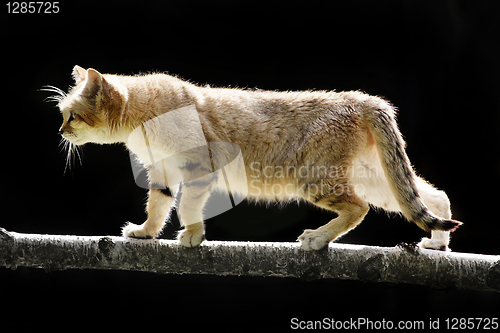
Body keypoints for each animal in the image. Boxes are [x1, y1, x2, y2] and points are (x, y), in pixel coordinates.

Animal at [47, 65, 460, 249]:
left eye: (71, 115)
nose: (60, 131)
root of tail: (365, 100)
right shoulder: (162, 170)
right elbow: (159, 205)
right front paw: (146, 232)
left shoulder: (200, 166)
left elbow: (188, 205)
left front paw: (193, 234)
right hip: (373, 176)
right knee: (431, 197)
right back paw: (437, 244)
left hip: (316, 177)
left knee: (358, 208)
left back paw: (317, 237)